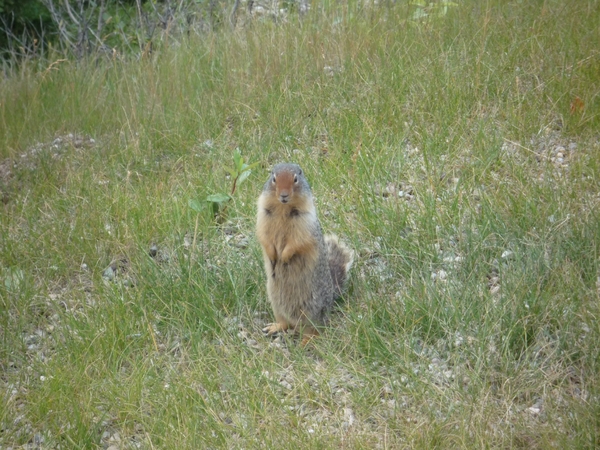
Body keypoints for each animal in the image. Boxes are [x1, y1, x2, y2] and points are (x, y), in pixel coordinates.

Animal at [255, 163, 354, 346]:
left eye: (296, 178)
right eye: (274, 178)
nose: (284, 195)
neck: (283, 207)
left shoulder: (304, 222)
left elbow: (297, 242)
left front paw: (284, 257)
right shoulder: (263, 215)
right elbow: (264, 237)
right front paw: (273, 256)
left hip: (312, 310)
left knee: (315, 330)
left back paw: (306, 342)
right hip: (275, 302)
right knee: (285, 323)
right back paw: (274, 327)